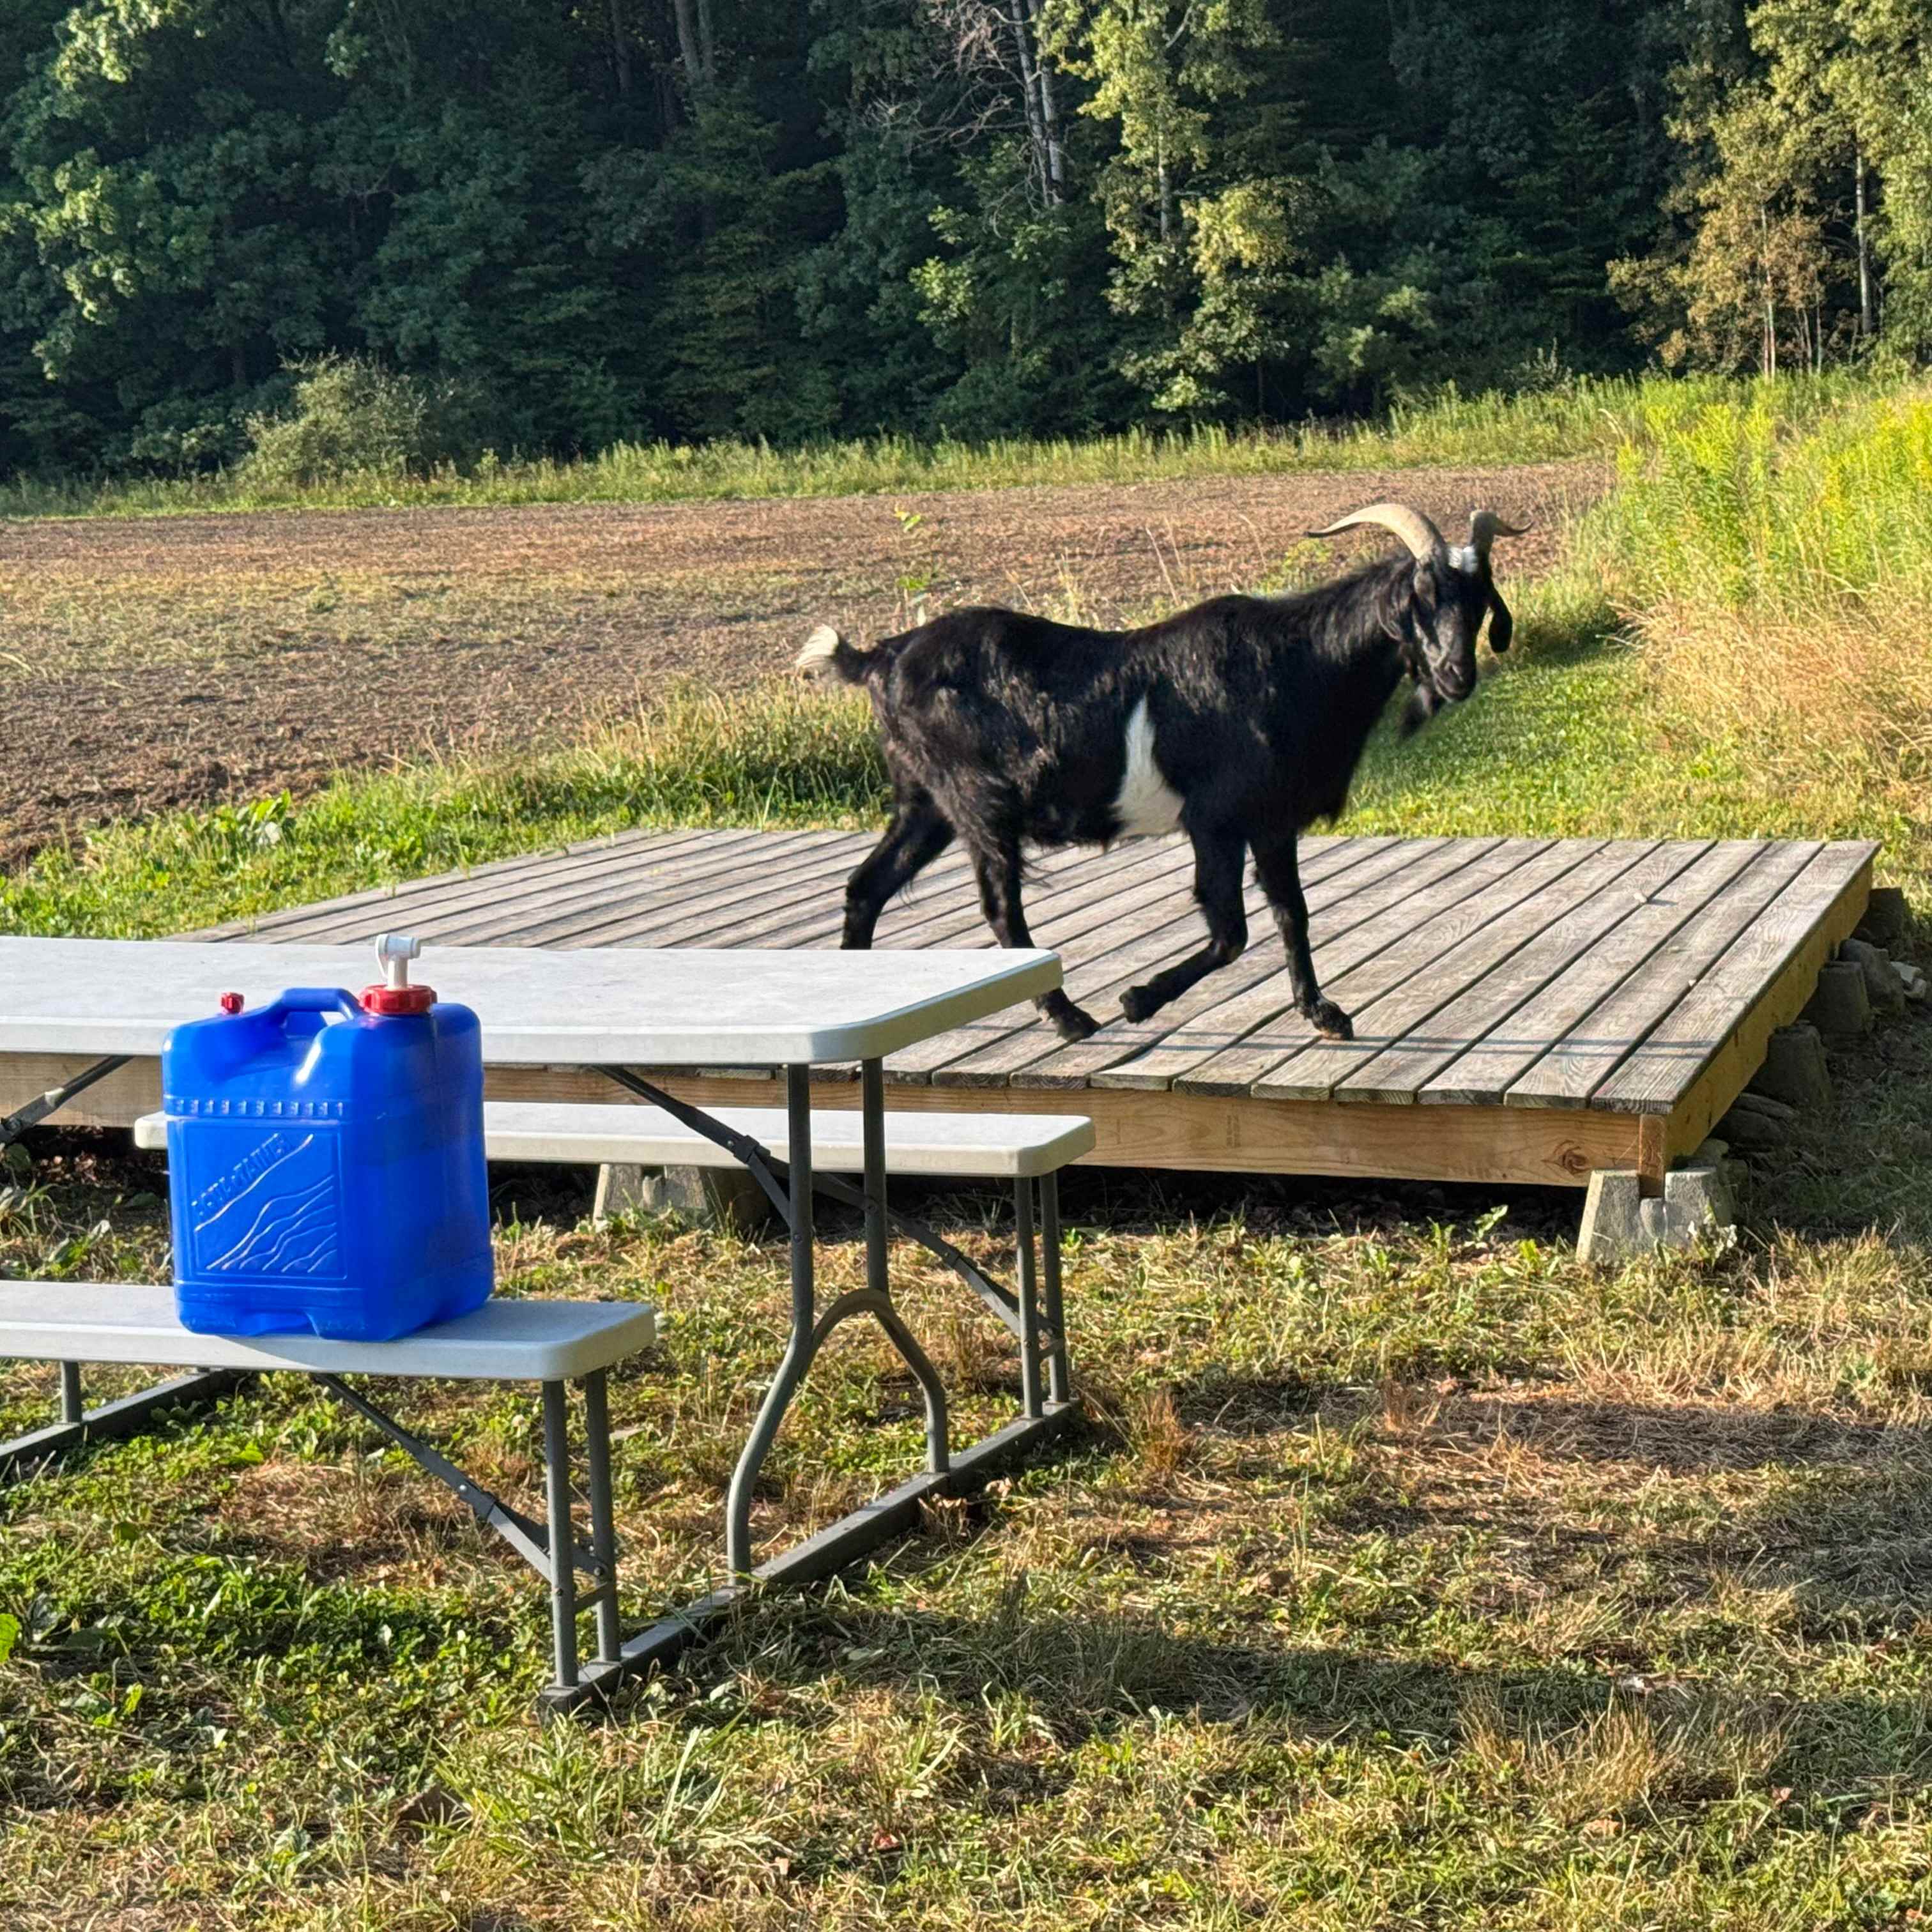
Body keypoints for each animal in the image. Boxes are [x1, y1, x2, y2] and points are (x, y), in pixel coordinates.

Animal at [797, 502, 1527, 1043]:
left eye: (1479, 602)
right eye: (1422, 598)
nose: (1457, 676)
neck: (1300, 660)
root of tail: (882, 656)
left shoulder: (1271, 820)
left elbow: (1292, 914)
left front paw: (1324, 1014)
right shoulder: (1216, 819)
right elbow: (1231, 932)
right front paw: (1138, 999)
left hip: (925, 801)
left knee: (866, 887)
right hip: (978, 801)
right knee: (1001, 908)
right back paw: (1072, 1018)